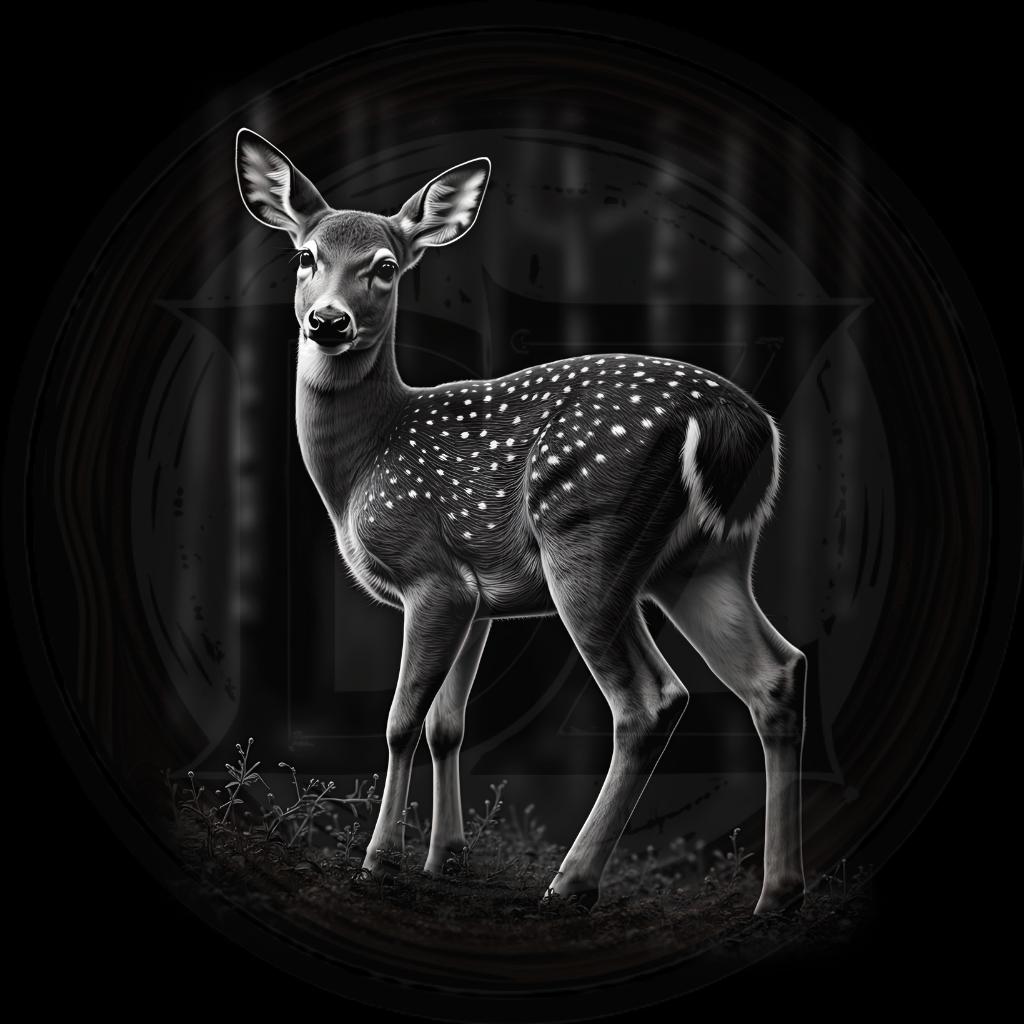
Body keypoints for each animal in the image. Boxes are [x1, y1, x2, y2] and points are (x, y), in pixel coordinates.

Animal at [235, 129, 807, 915]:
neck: (361, 464)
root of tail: (735, 420)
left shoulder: (430, 574)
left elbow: (402, 721)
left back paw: (570, 883)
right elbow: (447, 725)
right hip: (705, 562)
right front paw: (444, 860)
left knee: (650, 701)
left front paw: (379, 862)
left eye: (384, 267)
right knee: (774, 674)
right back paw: (777, 896)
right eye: (305, 255)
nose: (327, 322)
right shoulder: (477, 599)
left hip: (589, 538)